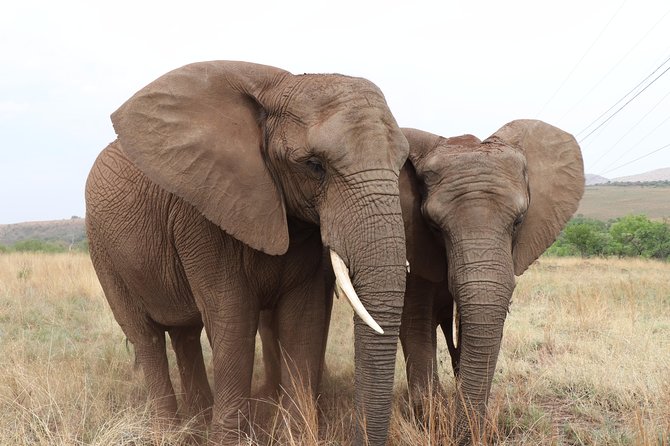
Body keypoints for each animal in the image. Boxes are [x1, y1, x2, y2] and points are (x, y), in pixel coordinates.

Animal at [85, 60, 409, 445]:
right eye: (315, 165)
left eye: (403, 163)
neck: (279, 88)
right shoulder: (203, 214)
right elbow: (233, 316)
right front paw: (229, 440)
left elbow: (304, 320)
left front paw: (296, 437)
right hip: (102, 249)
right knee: (145, 336)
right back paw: (169, 433)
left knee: (185, 333)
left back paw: (197, 422)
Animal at [398, 120, 584, 440]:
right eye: (434, 226)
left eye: (519, 221)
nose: (465, 437)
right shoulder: (413, 238)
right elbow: (415, 320)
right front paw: (431, 420)